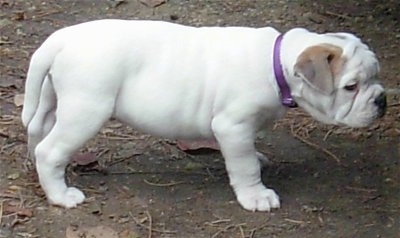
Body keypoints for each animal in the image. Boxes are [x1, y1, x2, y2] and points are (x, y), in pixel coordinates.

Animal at [21, 19, 384, 211]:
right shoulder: (233, 127)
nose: (382, 100)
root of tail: (61, 39)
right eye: (351, 87)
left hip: (53, 99)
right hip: (87, 109)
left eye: (376, 77)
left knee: (39, 132)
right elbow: (244, 165)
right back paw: (60, 195)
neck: (276, 63)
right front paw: (255, 195)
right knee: (50, 150)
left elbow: (248, 153)